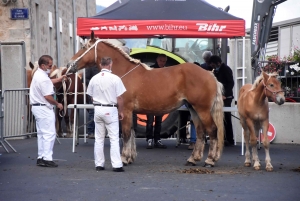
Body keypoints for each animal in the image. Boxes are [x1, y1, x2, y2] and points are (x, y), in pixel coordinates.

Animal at [65, 31, 224, 166]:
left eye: (84, 47)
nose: (68, 64)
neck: (124, 72)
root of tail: (210, 74)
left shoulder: (126, 110)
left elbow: (126, 134)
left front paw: (124, 158)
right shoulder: (131, 112)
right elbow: (131, 133)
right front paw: (130, 157)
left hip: (202, 110)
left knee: (212, 130)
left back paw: (210, 160)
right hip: (193, 109)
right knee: (201, 132)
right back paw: (193, 159)